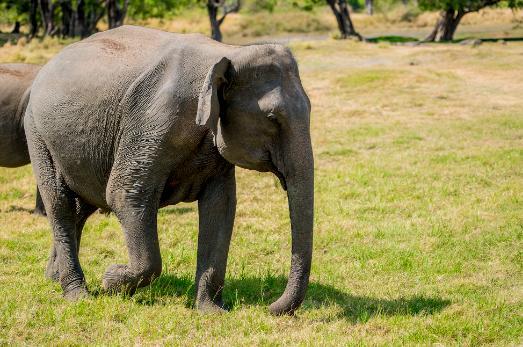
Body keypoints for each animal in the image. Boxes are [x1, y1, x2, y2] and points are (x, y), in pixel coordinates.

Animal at [26, 25, 314, 316]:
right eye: (272, 118)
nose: (269, 307)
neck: (227, 53)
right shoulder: (154, 120)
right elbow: (125, 194)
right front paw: (111, 280)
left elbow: (221, 206)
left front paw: (212, 312)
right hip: (37, 134)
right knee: (60, 203)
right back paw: (77, 295)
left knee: (81, 207)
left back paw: (54, 277)